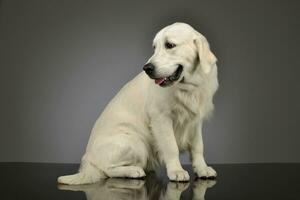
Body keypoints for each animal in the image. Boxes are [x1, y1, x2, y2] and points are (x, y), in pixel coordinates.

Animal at [58, 22, 218, 184]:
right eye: (154, 47)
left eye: (169, 45)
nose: (147, 68)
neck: (189, 87)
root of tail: (88, 159)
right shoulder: (161, 118)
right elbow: (171, 147)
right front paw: (176, 171)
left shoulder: (195, 120)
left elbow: (198, 147)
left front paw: (202, 169)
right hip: (136, 142)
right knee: (107, 169)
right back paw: (134, 171)